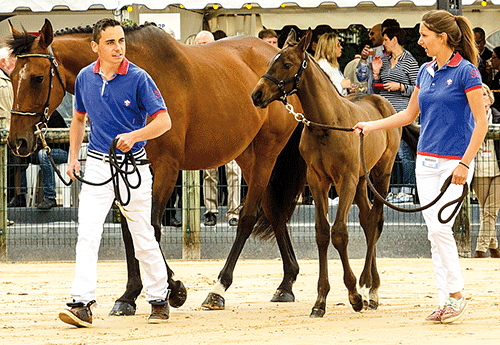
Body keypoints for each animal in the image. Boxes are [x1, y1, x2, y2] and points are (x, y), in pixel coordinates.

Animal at [7, 20, 306, 314]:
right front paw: (130, 295)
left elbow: (150, 226)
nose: (18, 141)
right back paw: (286, 283)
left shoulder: (165, 168)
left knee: (248, 216)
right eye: (11, 76)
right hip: (246, 155)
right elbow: (131, 231)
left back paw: (219, 289)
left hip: (267, 152)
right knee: (275, 212)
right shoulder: (127, 169)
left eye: (37, 78)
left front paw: (172, 289)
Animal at [254, 30, 402, 318]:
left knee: (376, 220)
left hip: (381, 174)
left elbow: (340, 233)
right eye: (268, 62)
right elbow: (322, 233)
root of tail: (381, 101)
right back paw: (369, 285)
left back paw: (371, 287)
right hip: (361, 180)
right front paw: (320, 301)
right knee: (368, 220)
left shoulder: (345, 180)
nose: (257, 94)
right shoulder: (317, 181)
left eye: (286, 63)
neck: (327, 124)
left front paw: (354, 294)